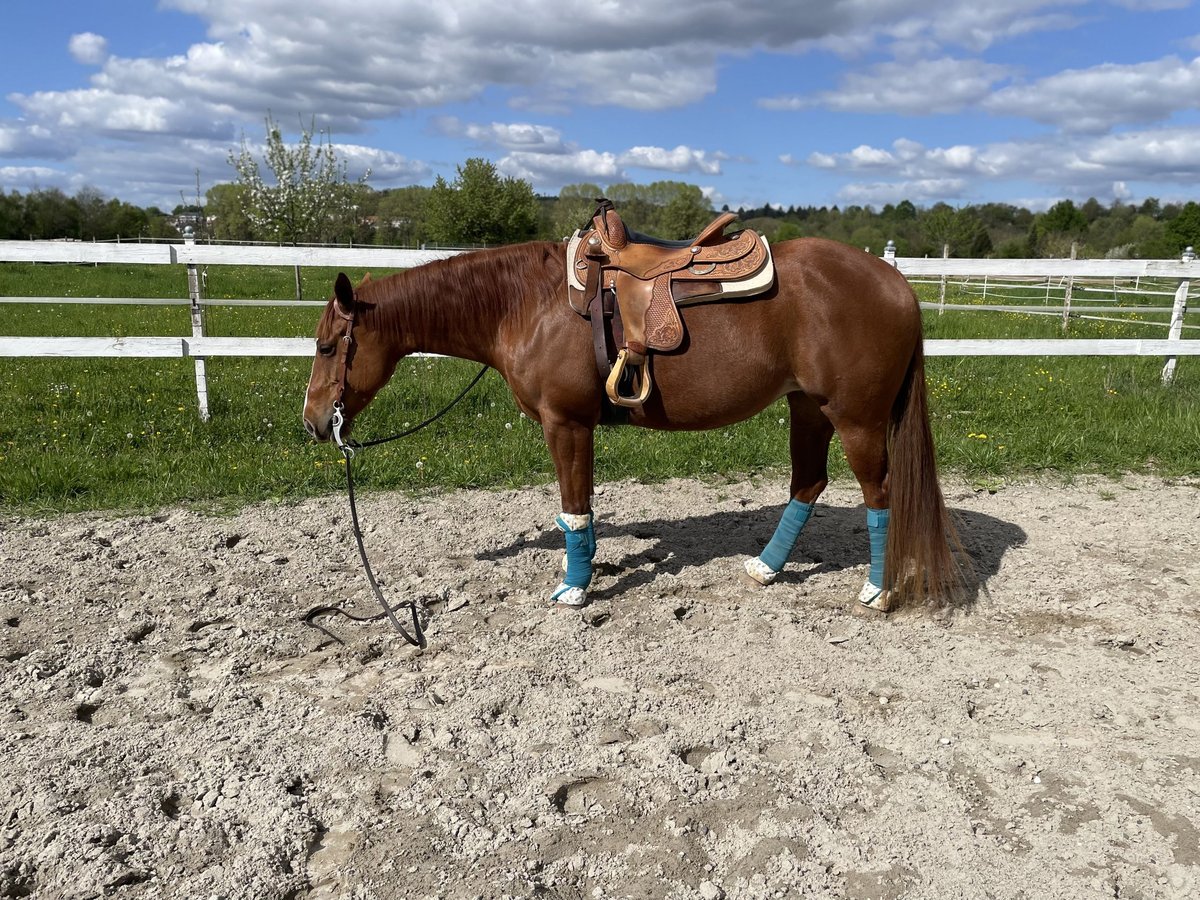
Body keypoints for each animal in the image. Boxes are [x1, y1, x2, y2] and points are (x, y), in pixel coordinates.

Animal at [304, 237, 960, 614]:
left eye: (330, 345)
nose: (313, 423)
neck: (528, 303)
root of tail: (897, 283)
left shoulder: (567, 424)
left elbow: (574, 507)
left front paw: (574, 587)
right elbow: (581, 508)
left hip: (857, 419)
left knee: (880, 494)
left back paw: (877, 590)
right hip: (807, 407)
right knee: (808, 483)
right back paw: (766, 568)